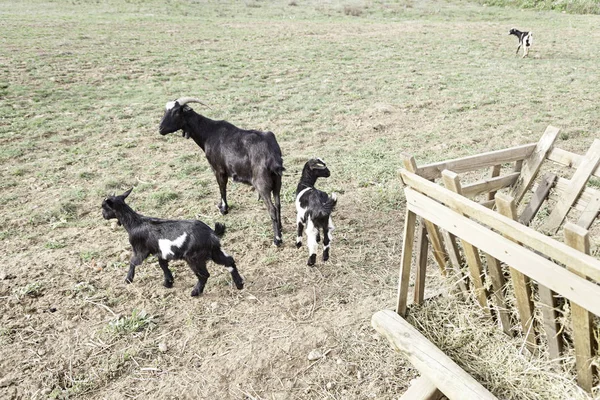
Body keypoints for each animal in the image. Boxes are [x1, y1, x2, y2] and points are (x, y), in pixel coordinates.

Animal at [101, 188, 244, 296]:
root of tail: (211, 233)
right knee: (229, 261)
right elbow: (163, 265)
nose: (103, 216)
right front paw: (168, 282)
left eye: (104, 207)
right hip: (214, 251)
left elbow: (133, 262)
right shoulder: (161, 252)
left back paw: (195, 292)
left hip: (193, 257)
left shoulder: (140, 249)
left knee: (204, 275)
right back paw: (239, 284)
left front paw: (128, 279)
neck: (134, 223)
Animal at [159, 97, 286, 247]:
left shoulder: (218, 169)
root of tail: (272, 155)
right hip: (277, 181)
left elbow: (222, 188)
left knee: (272, 208)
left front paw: (223, 209)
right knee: (278, 204)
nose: (160, 129)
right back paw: (280, 228)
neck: (208, 132)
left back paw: (277, 239)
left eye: (176, 112)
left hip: (262, 184)